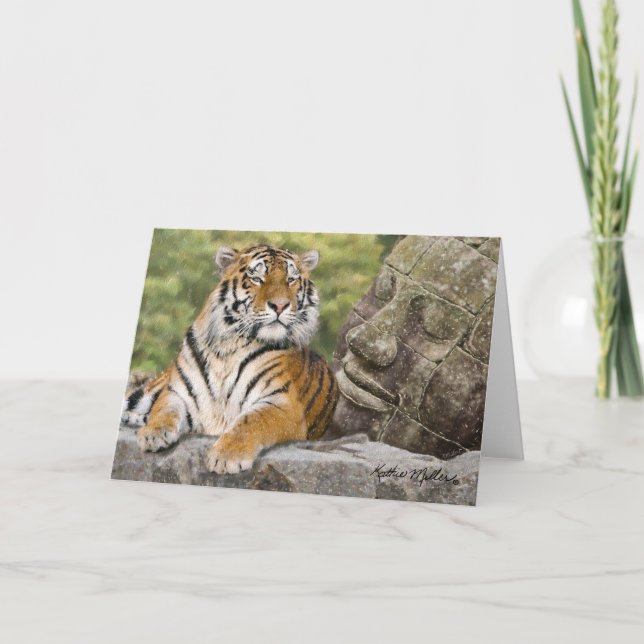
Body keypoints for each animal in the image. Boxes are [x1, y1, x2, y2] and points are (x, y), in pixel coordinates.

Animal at [121, 244, 339, 475]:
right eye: (257, 278)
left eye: (291, 279)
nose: (280, 306)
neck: (228, 347)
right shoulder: (178, 393)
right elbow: (163, 410)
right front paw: (152, 433)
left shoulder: (283, 403)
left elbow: (252, 420)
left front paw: (227, 456)